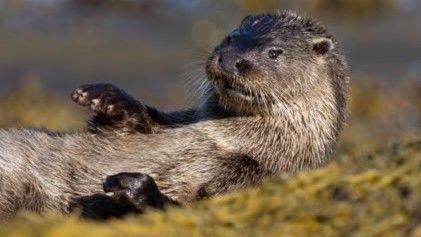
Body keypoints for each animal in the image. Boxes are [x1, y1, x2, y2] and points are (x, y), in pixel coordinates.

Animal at [0, 10, 348, 218]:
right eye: (230, 38)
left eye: (274, 52)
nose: (229, 58)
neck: (232, 140)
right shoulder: (175, 121)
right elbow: (130, 123)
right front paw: (105, 97)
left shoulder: (255, 180)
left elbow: (189, 205)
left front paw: (135, 188)